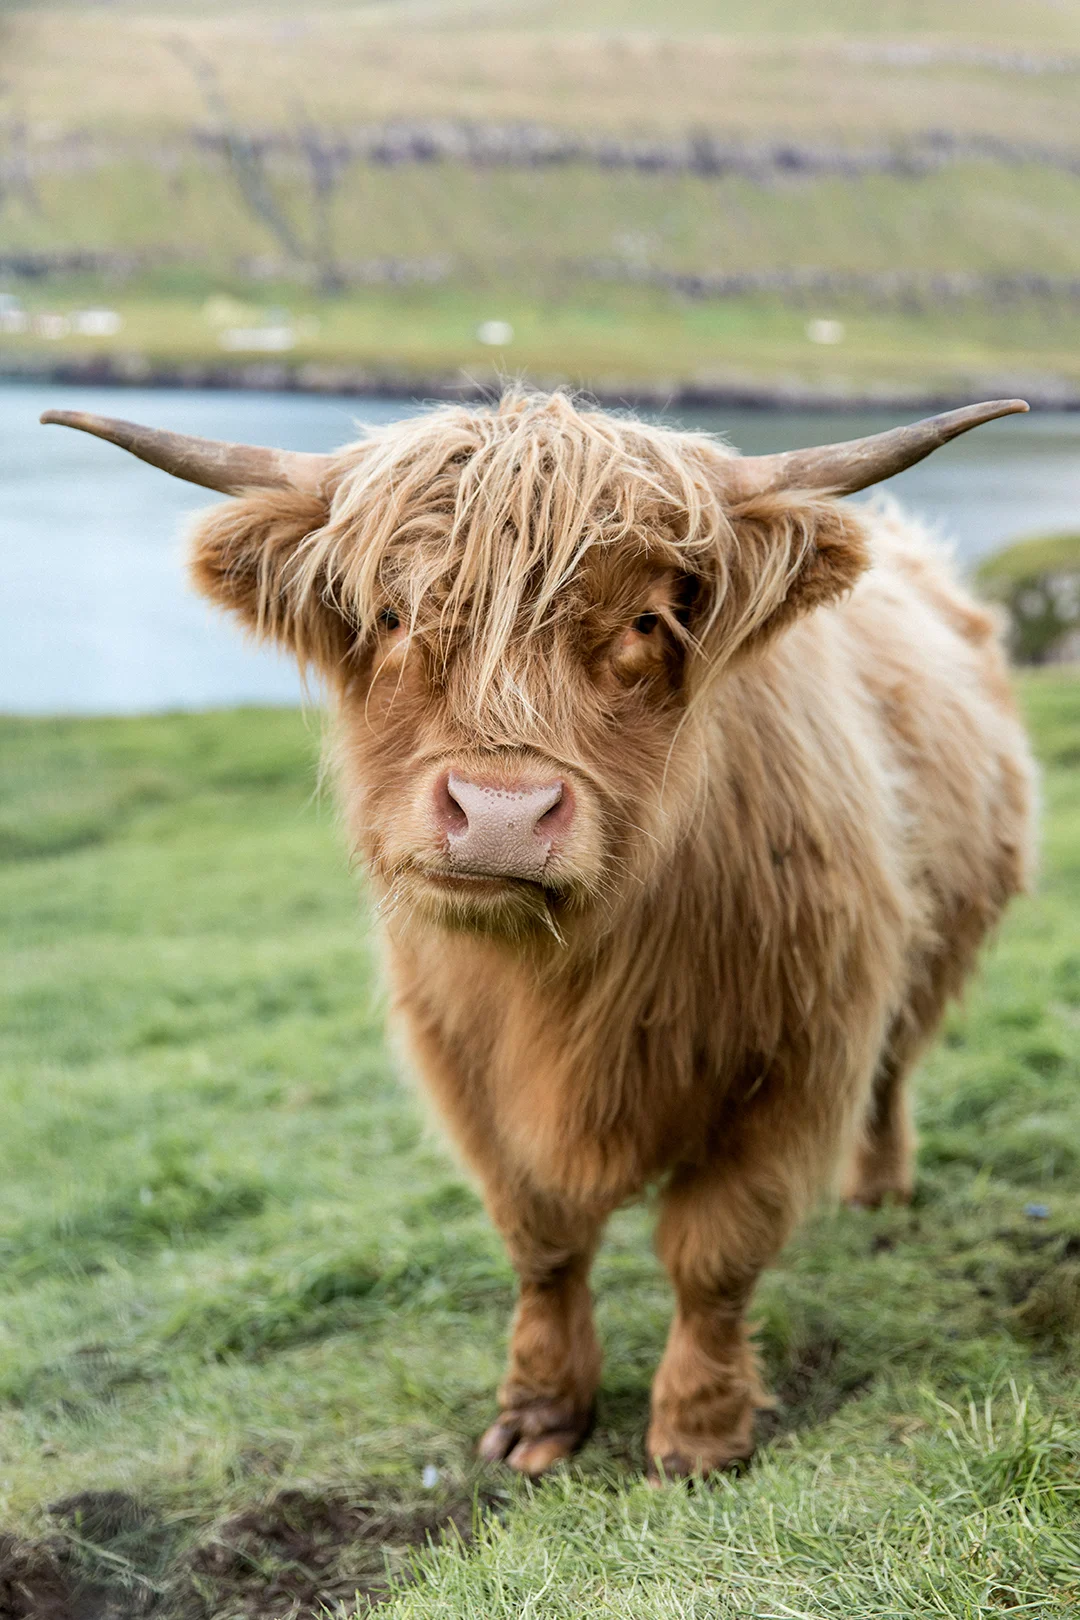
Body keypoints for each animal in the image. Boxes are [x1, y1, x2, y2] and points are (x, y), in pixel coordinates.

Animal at [43, 391, 1036, 1480]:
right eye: (390, 614)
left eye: (645, 620)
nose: (502, 813)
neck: (564, 983)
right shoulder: (465, 1066)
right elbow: (543, 1240)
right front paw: (541, 1411)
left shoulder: (795, 1055)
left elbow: (716, 1251)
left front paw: (698, 1431)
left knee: (894, 1071)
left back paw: (879, 1189)